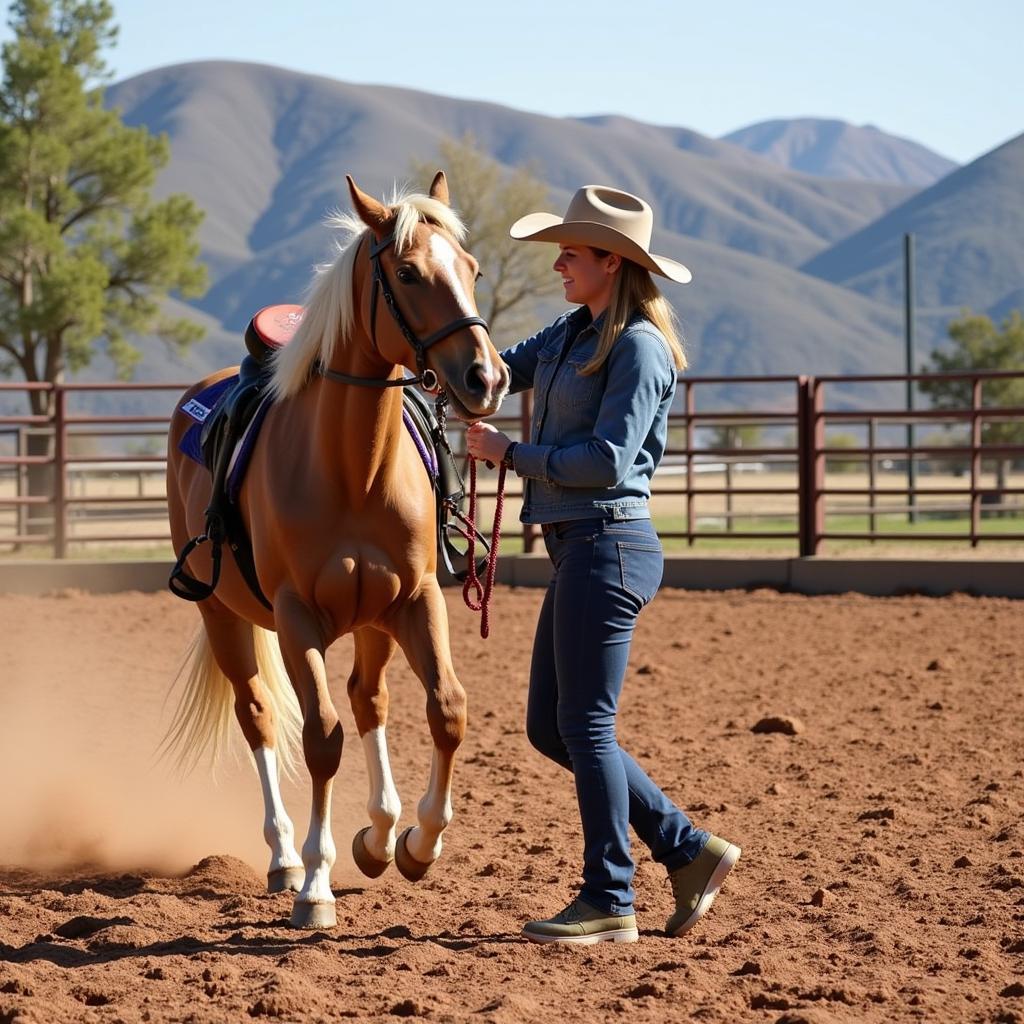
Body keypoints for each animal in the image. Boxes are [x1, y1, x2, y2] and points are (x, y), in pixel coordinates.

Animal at [162, 174, 507, 929]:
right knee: (261, 717)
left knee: (368, 698)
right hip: (223, 618)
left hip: (374, 618)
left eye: (471, 269)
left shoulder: (417, 600)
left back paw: (379, 834)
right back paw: (285, 856)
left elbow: (447, 709)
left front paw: (417, 844)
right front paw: (316, 887)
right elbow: (321, 737)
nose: (486, 378)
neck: (352, 467)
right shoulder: (298, 619)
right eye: (407, 273)